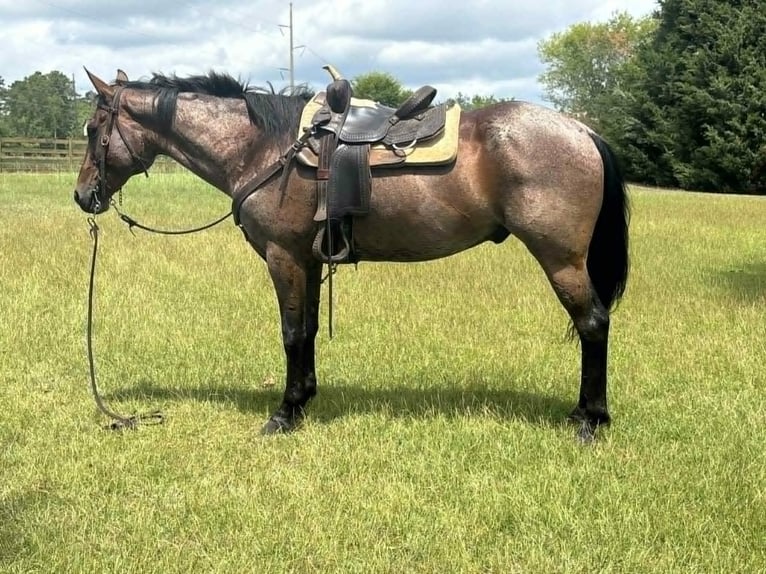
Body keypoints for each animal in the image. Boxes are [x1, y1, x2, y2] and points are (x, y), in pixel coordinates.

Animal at [73, 68, 629, 441]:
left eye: (95, 130)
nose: (82, 197)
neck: (264, 147)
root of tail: (582, 130)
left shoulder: (283, 257)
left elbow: (291, 333)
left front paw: (284, 414)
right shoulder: (308, 259)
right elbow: (308, 330)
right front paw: (304, 400)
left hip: (561, 259)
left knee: (593, 323)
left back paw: (591, 420)